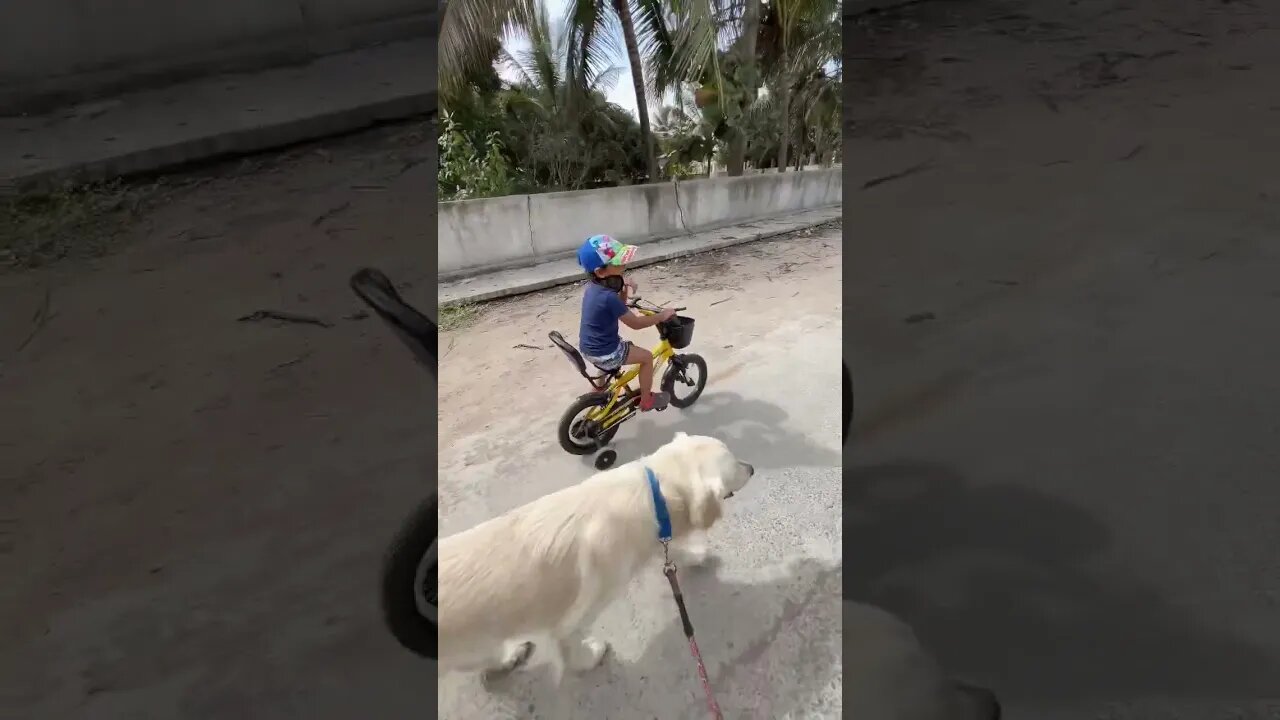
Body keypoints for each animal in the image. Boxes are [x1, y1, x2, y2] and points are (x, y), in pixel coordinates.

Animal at [440, 430, 757, 676]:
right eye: (735, 463)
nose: (752, 467)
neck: (654, 491)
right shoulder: (586, 603)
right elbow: (568, 638)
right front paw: (588, 658)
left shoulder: (652, 537)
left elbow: (669, 551)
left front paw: (696, 555)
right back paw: (508, 657)